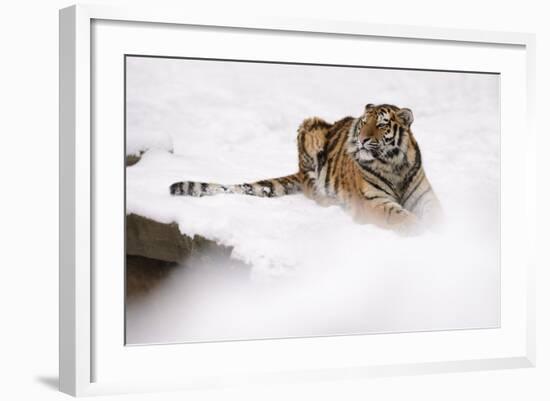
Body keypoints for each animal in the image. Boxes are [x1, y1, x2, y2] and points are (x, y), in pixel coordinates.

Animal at [170, 103, 442, 233]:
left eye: (382, 124)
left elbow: (437, 215)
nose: (363, 139)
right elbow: (401, 217)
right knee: (312, 187)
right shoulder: (373, 202)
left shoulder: (425, 197)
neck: (395, 166)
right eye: (364, 123)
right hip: (310, 129)